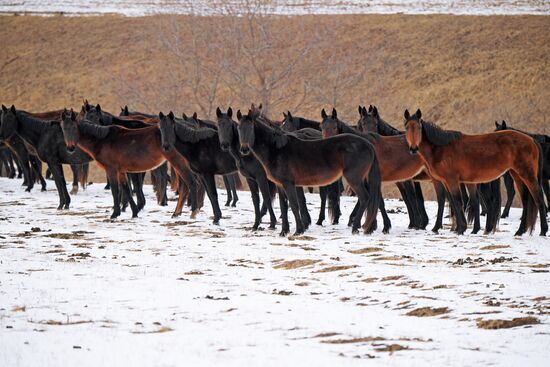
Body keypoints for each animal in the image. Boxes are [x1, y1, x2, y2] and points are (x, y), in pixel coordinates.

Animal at [61, 108, 198, 218]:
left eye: (74, 128)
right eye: (63, 129)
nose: (70, 148)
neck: (103, 140)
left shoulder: (111, 170)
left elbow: (115, 190)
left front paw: (115, 214)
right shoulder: (122, 171)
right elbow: (126, 189)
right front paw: (134, 212)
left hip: (178, 162)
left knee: (191, 182)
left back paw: (192, 212)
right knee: (184, 186)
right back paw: (176, 213)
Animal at [235, 109, 382, 236]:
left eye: (251, 128)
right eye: (239, 128)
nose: (243, 149)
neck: (277, 149)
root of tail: (368, 145)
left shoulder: (288, 184)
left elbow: (294, 205)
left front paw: (298, 230)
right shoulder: (280, 185)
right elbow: (284, 206)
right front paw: (284, 231)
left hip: (354, 179)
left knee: (365, 198)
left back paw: (355, 227)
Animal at [406, 108, 548, 236]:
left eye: (418, 128)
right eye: (407, 127)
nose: (413, 148)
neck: (441, 148)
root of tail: (532, 140)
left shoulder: (452, 181)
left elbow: (458, 201)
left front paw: (461, 229)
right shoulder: (450, 182)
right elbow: (456, 202)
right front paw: (462, 228)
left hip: (527, 175)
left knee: (539, 198)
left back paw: (543, 231)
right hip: (517, 175)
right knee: (526, 200)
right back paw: (520, 231)